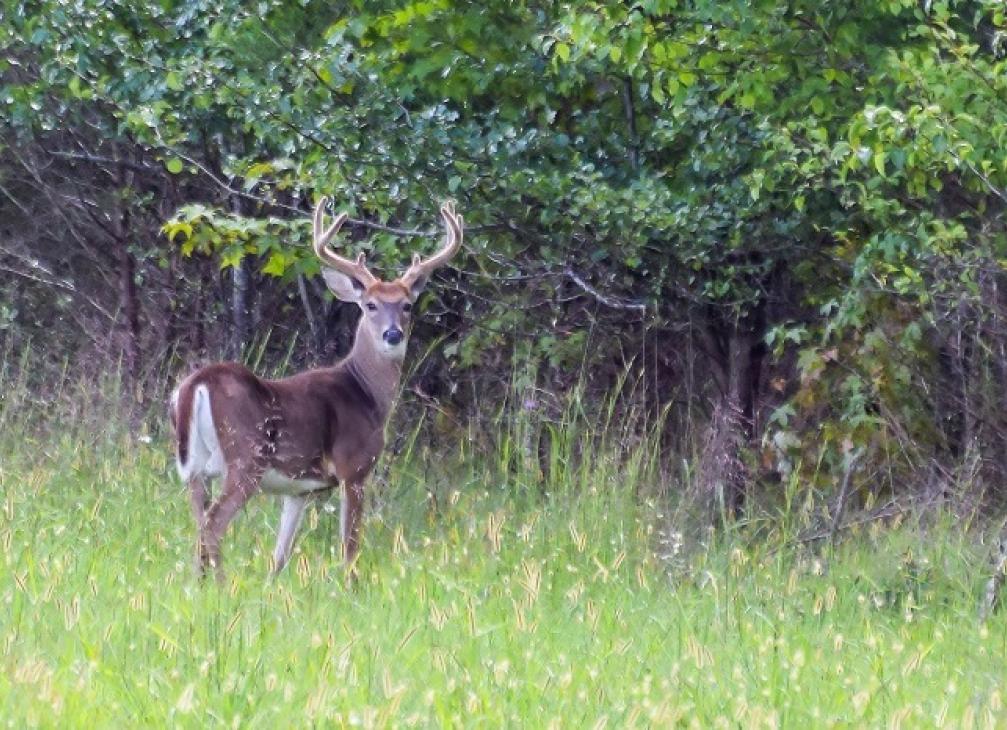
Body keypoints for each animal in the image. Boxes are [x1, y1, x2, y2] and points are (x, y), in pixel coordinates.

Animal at [169, 198, 463, 580]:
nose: (393, 334)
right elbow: (350, 547)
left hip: (196, 468)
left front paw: (271, 587)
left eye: (407, 305)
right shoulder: (354, 467)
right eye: (370, 305)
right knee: (213, 523)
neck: (366, 393)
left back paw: (199, 583)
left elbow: (280, 555)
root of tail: (196, 383)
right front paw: (351, 586)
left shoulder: (300, 490)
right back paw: (222, 585)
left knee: (198, 521)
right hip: (246, 457)